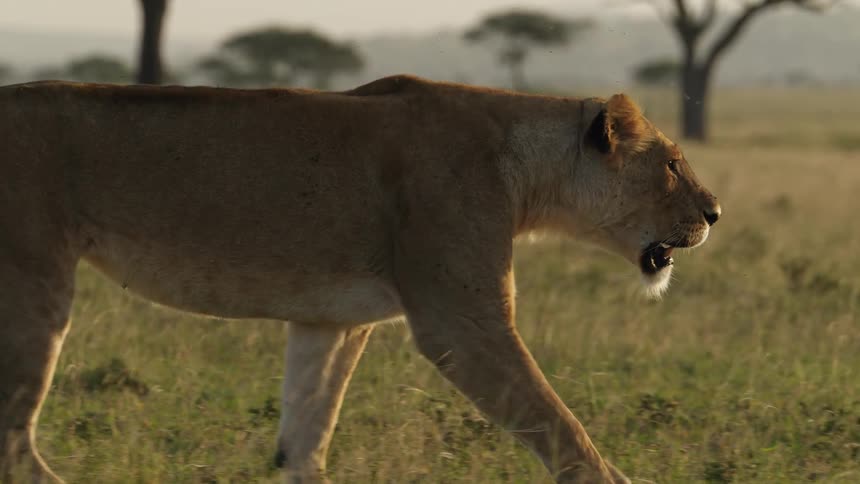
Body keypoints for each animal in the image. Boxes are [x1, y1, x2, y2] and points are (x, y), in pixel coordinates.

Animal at [0, 75, 720, 483]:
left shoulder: (332, 321)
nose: (716, 212)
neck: (525, 170)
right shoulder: (462, 324)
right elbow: (560, 424)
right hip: (33, 280)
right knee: (14, 441)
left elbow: (306, 437)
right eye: (672, 165)